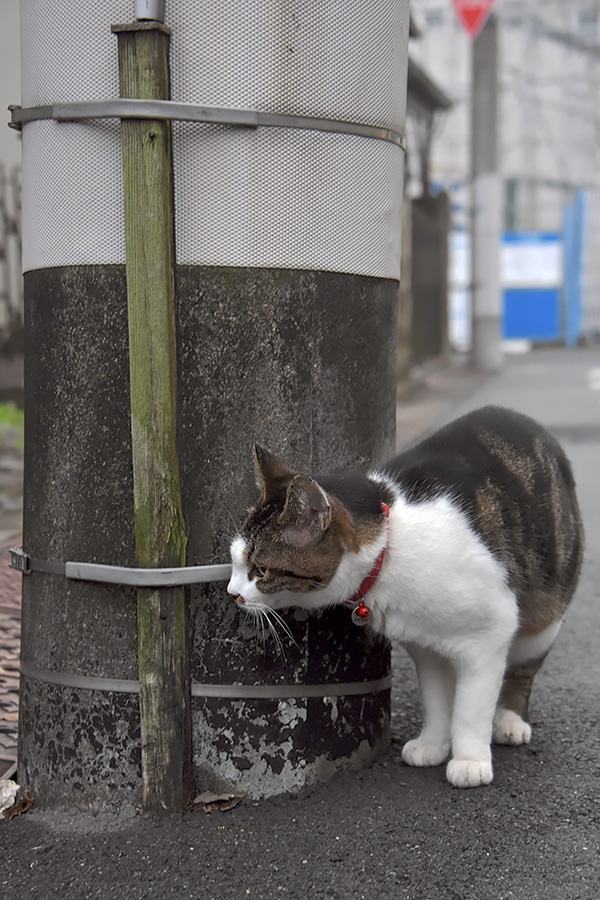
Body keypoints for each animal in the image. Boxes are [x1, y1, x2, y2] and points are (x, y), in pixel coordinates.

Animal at [227, 408, 584, 788]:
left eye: (260, 570)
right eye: (235, 560)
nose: (232, 593)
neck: (389, 545)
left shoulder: (488, 633)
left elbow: (471, 709)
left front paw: (469, 760)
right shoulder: (424, 644)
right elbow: (436, 699)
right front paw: (432, 745)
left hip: (543, 617)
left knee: (523, 669)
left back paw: (510, 721)